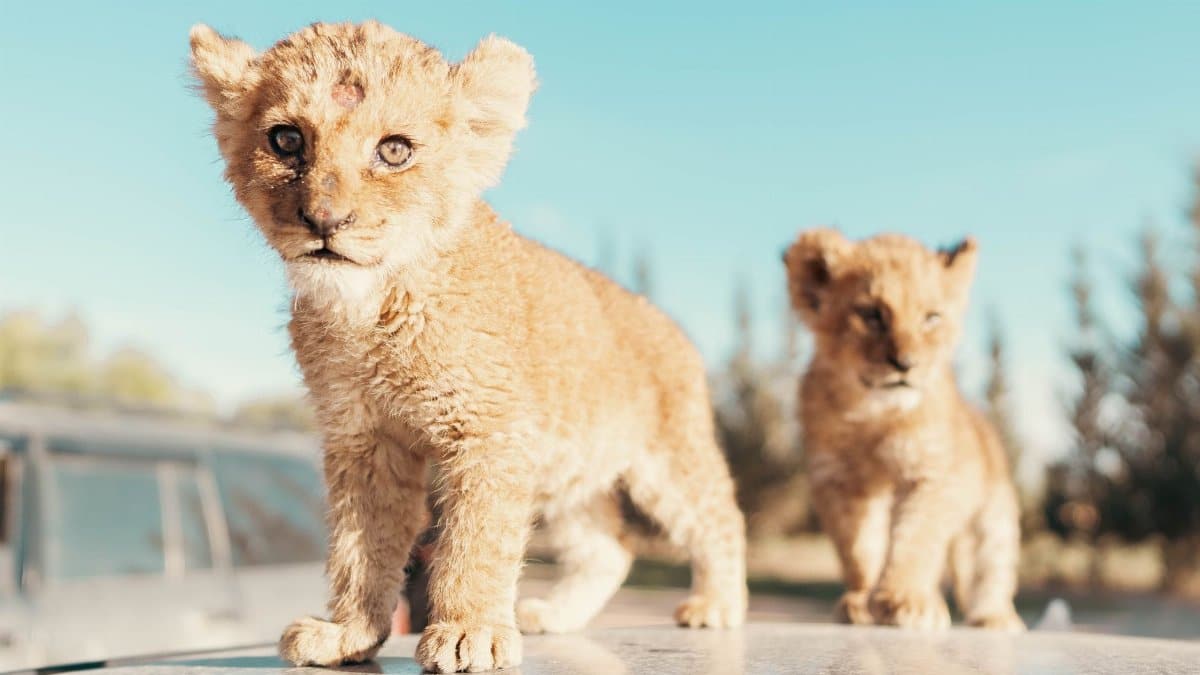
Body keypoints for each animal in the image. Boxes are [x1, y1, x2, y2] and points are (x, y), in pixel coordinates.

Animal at [189, 21, 747, 673]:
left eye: (395, 150)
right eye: (286, 139)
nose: (324, 220)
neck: (369, 307)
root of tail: (669, 323)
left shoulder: (490, 429)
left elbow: (477, 538)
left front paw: (469, 633)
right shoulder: (364, 438)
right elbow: (361, 545)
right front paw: (347, 634)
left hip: (668, 457)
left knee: (720, 518)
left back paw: (716, 605)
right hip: (569, 468)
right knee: (609, 547)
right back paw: (556, 614)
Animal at [783, 228, 1024, 632]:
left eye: (931, 318)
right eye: (872, 314)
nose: (906, 364)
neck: (872, 413)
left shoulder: (930, 475)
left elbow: (915, 538)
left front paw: (904, 600)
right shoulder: (837, 482)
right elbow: (859, 548)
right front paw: (860, 601)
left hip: (990, 519)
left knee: (989, 570)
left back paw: (995, 617)